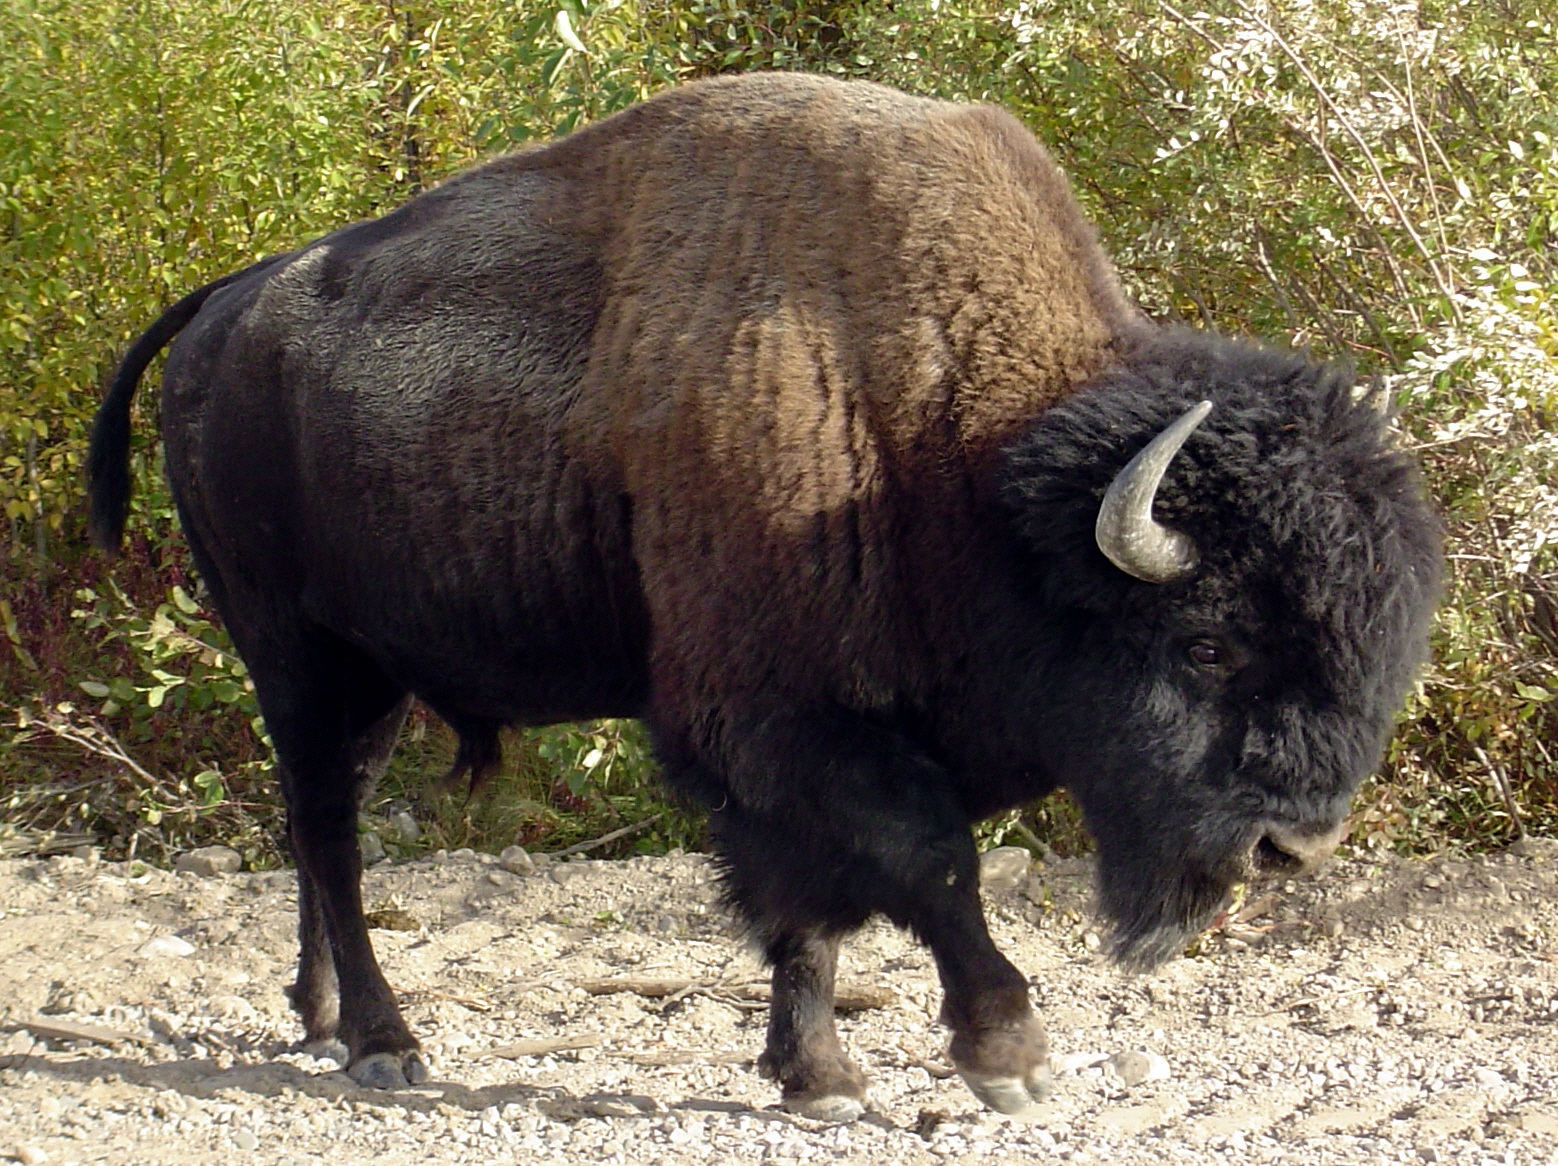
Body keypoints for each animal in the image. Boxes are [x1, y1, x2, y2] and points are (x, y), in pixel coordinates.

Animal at [89, 72, 1440, 1119]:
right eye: (1207, 644)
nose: (1292, 845)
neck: (955, 447)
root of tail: (225, 304)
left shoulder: (807, 739)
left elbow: (814, 912)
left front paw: (818, 1074)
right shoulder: (769, 718)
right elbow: (925, 863)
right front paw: (1006, 1057)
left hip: (365, 680)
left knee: (318, 829)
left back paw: (320, 1018)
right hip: (297, 652)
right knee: (327, 829)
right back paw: (384, 1041)